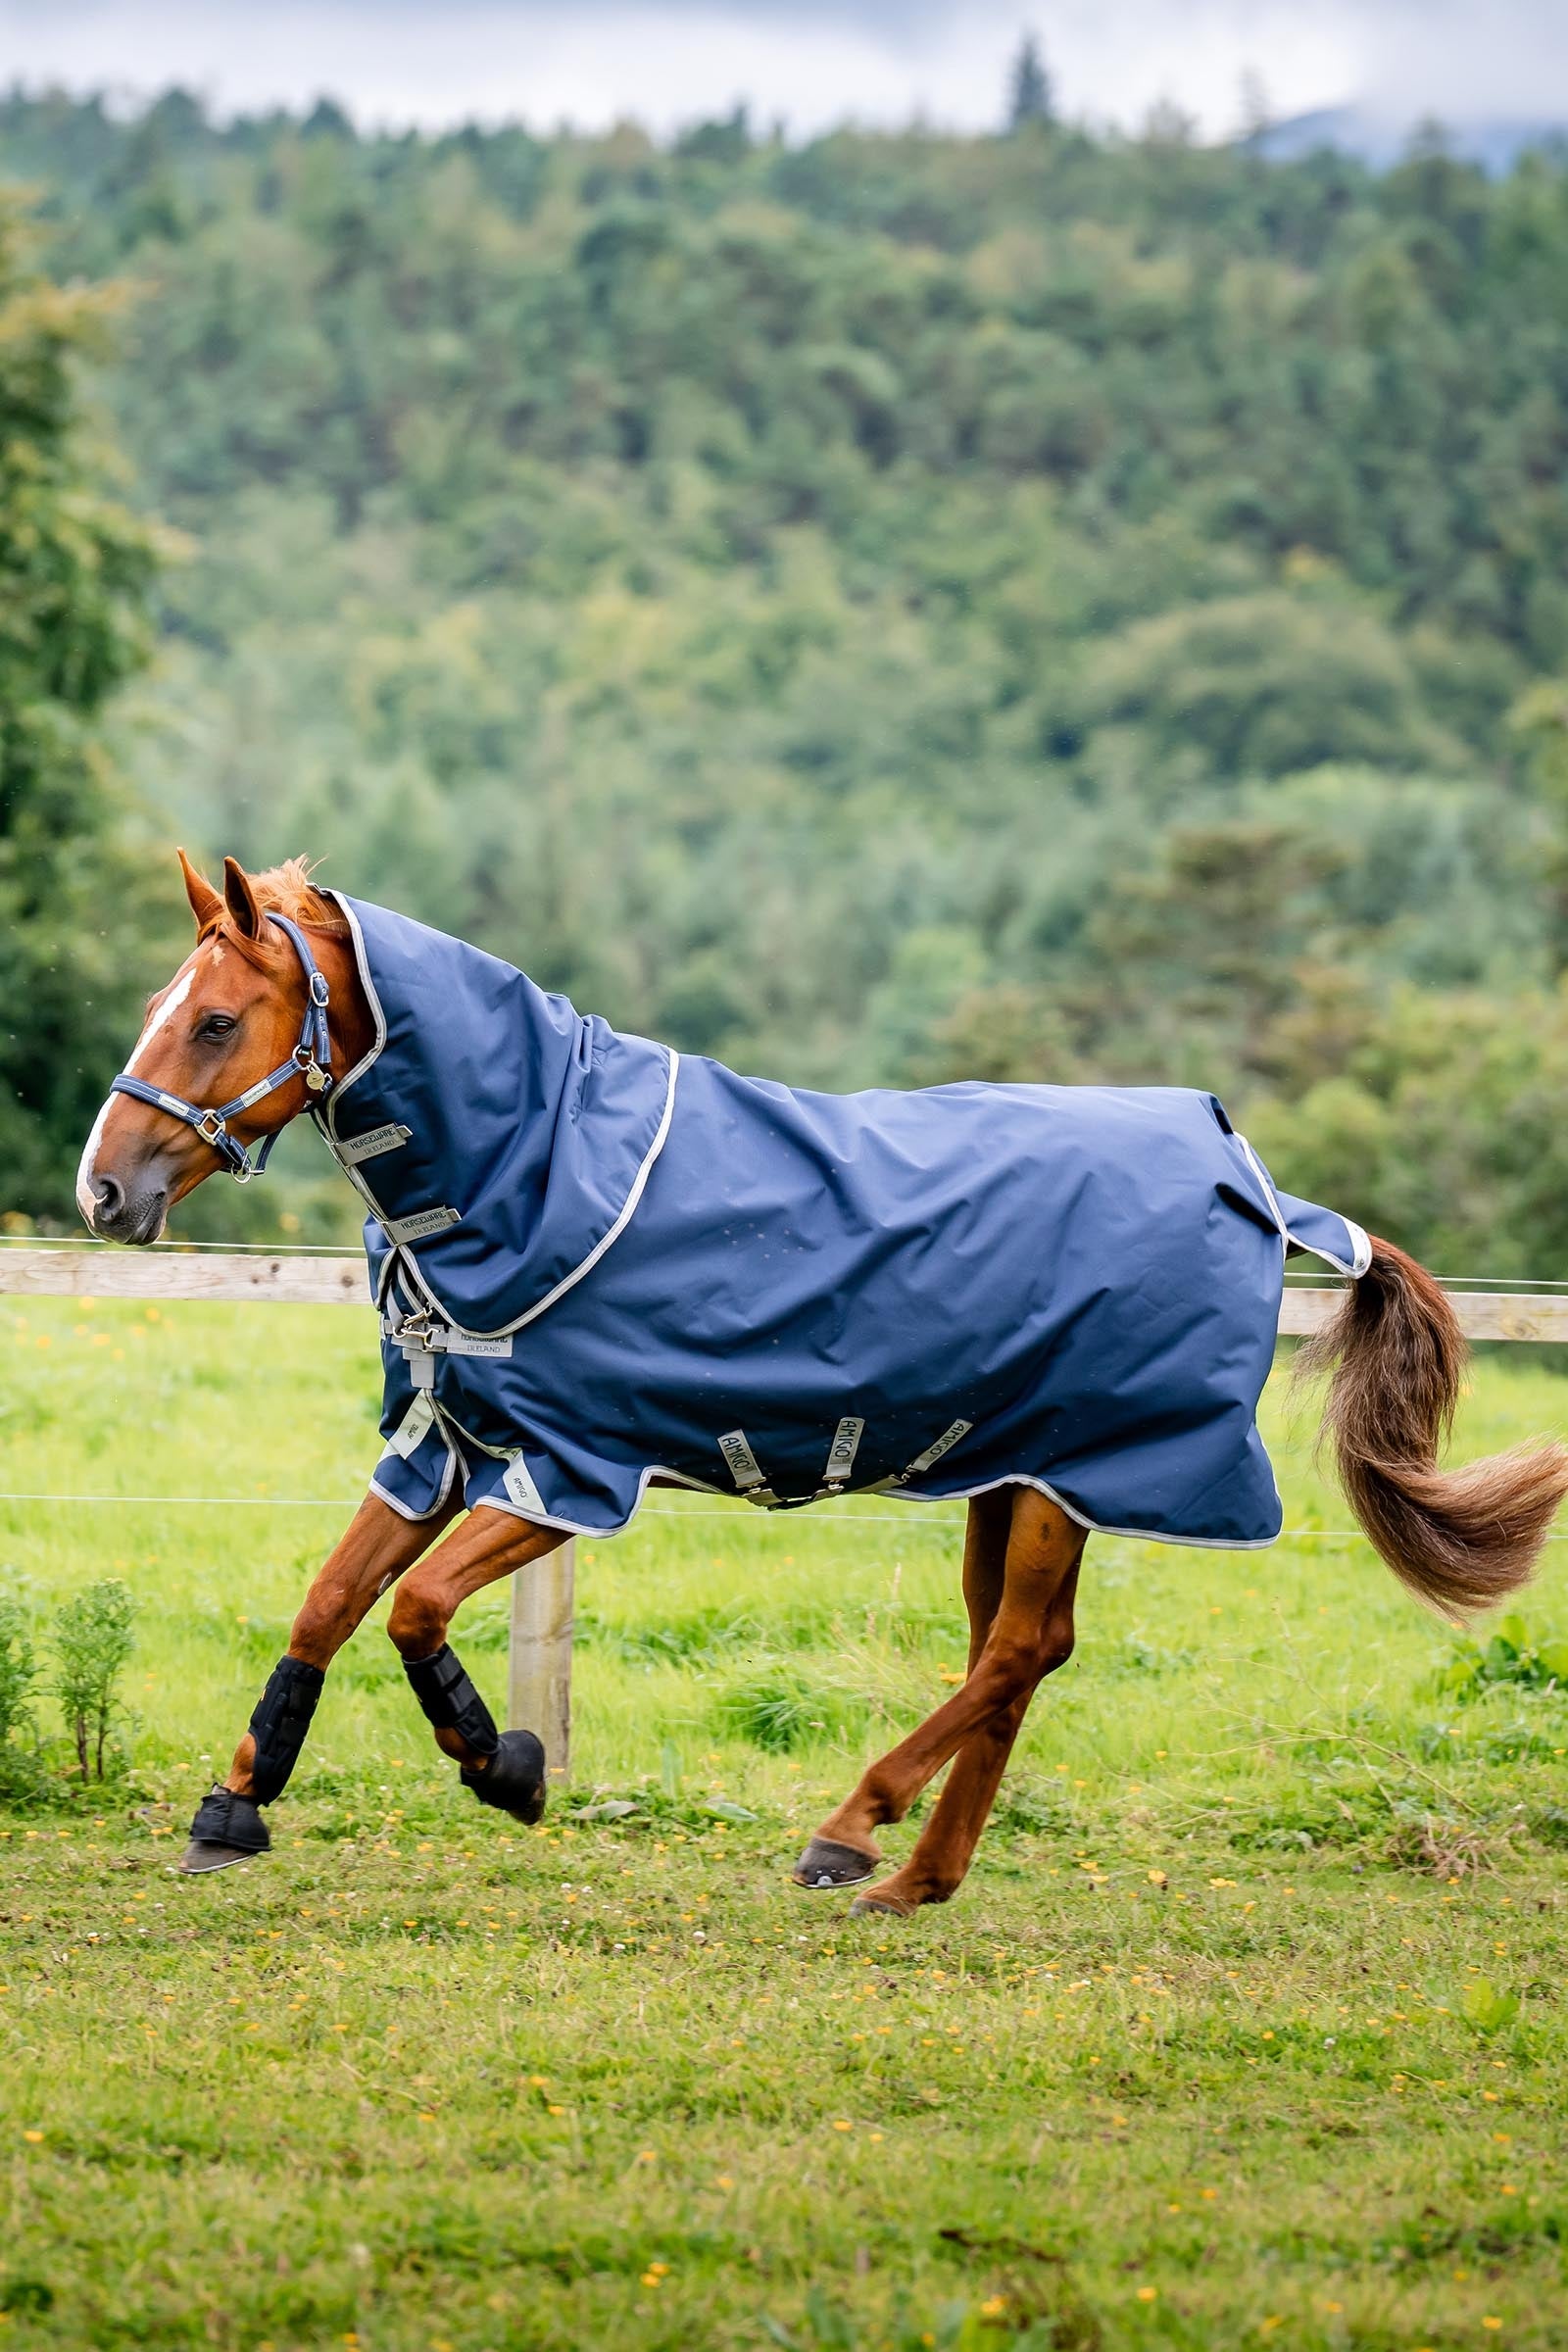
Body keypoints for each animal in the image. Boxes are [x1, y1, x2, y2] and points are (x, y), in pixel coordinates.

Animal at [77, 851, 1568, 1910]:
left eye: (215, 1019)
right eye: (157, 1009)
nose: (106, 1190)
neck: (535, 1168)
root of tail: (1249, 1173)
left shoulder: (571, 1470)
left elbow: (415, 1611)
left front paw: (506, 1768)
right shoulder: (447, 1443)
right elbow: (330, 1601)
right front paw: (235, 1808)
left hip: (1070, 1473)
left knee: (1015, 1650)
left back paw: (853, 1831)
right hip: (1015, 1468)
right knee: (1022, 1652)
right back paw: (915, 1881)